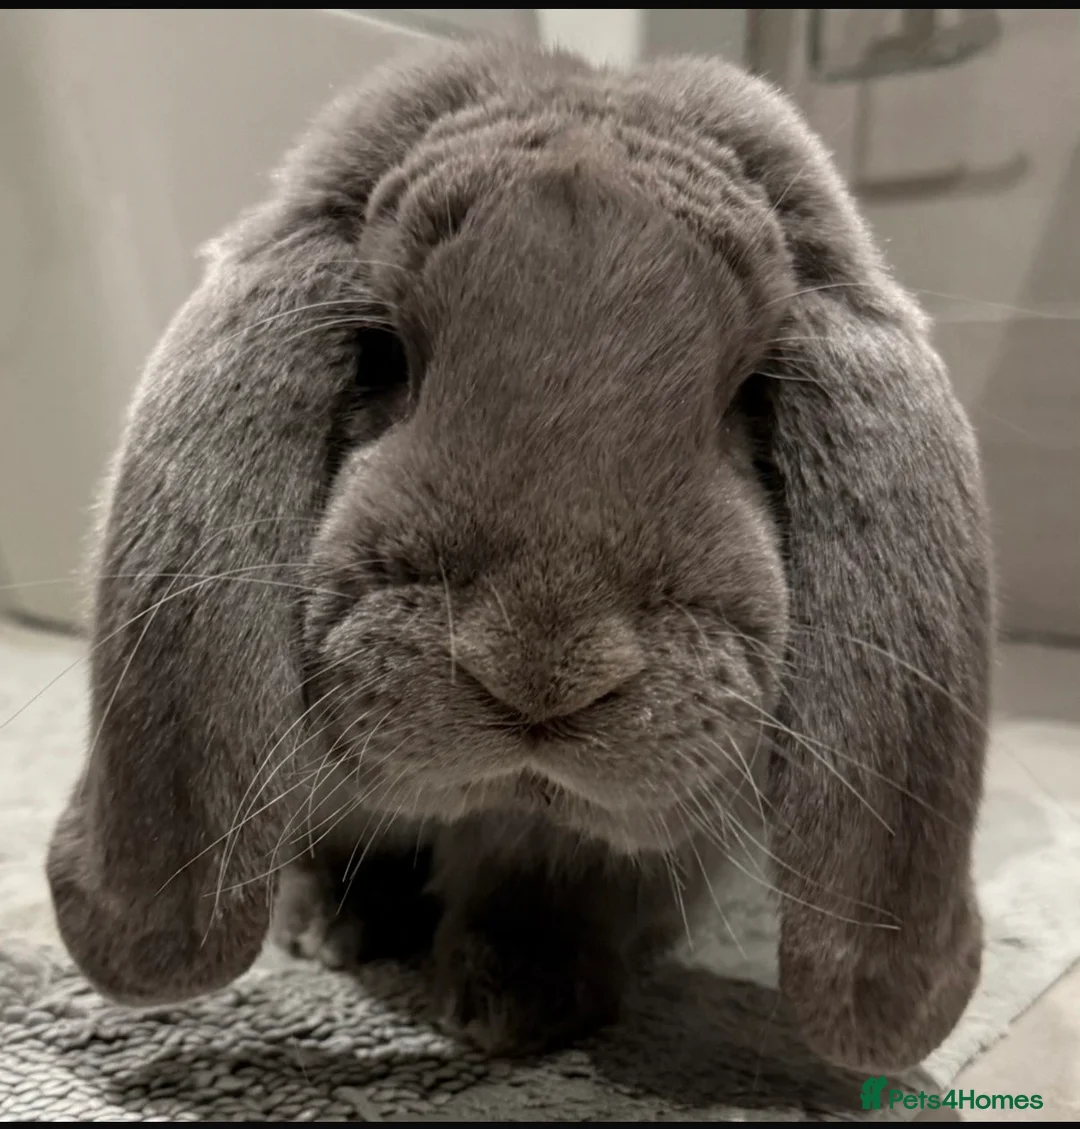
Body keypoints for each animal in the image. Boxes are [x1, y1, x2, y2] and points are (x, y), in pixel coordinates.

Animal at [46, 39, 992, 1072]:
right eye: (381, 355)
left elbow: (547, 887)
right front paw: (322, 931)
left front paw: (520, 1006)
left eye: (750, 391)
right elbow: (339, 848)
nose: (539, 669)